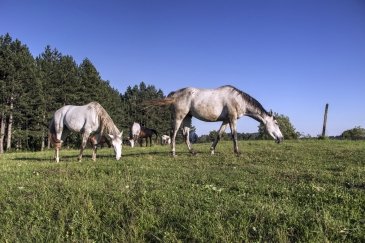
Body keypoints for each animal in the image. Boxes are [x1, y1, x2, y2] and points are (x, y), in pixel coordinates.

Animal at [145, 85, 282, 157]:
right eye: (276, 123)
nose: (281, 138)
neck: (238, 99)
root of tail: (174, 94)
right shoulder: (232, 119)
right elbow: (234, 135)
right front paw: (237, 152)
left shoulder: (226, 120)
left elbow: (219, 135)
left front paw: (212, 150)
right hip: (179, 117)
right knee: (173, 133)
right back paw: (173, 153)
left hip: (188, 117)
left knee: (185, 134)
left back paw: (193, 152)